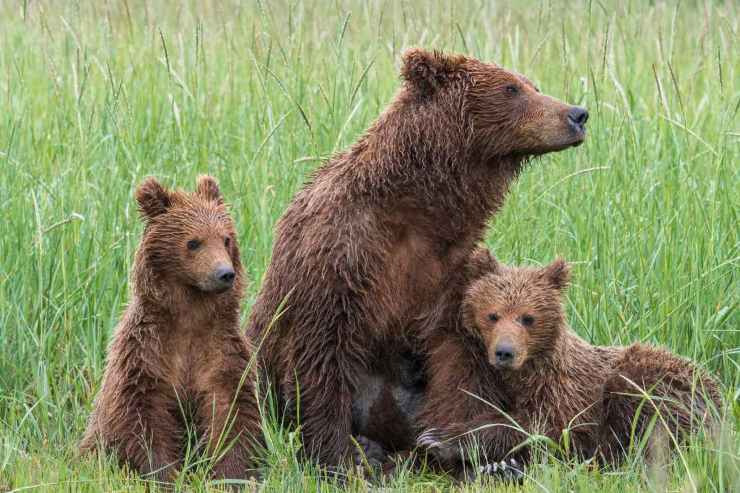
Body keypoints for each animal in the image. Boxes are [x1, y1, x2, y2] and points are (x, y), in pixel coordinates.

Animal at [79, 176, 260, 480]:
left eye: (226, 239)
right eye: (194, 242)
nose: (225, 274)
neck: (190, 315)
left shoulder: (220, 350)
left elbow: (229, 411)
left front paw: (230, 473)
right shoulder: (147, 353)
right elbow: (144, 418)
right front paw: (164, 474)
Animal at [247, 47, 588, 466]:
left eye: (533, 85)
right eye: (512, 88)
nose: (577, 114)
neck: (417, 210)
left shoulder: (448, 271)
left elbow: (456, 359)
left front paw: (451, 443)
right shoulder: (341, 255)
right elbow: (323, 354)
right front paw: (339, 456)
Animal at [420, 258, 720, 476]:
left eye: (527, 317)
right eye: (493, 315)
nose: (505, 352)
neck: (524, 375)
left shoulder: (568, 393)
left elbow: (546, 427)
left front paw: (441, 438)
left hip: (659, 383)